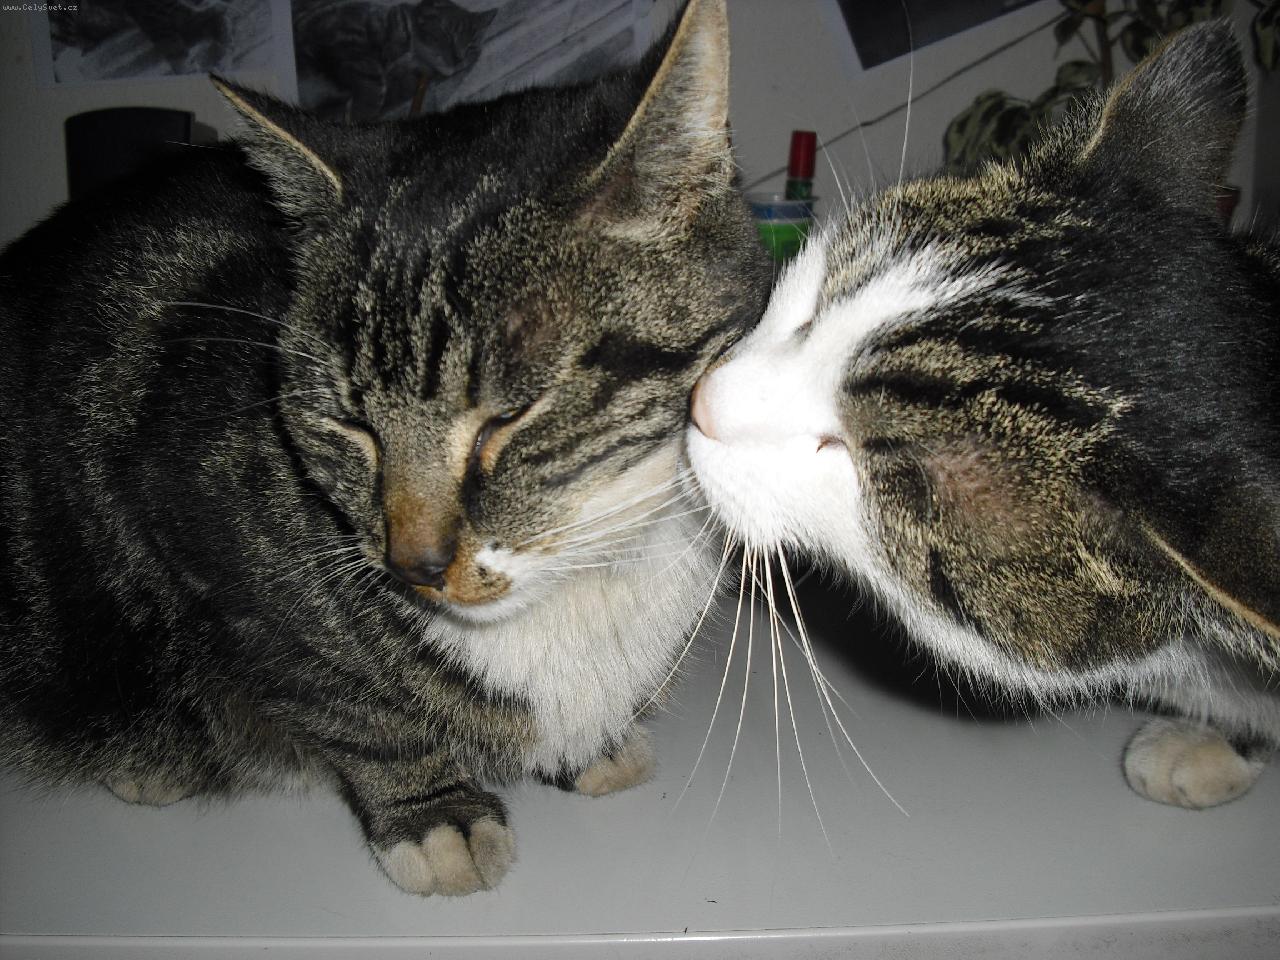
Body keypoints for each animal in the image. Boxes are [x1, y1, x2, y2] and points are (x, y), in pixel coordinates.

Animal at [0, 0, 769, 896]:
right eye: (349, 424)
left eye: (508, 418)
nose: (415, 564)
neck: (589, 574)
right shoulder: (192, 531)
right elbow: (346, 697)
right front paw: (434, 811)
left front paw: (595, 742)